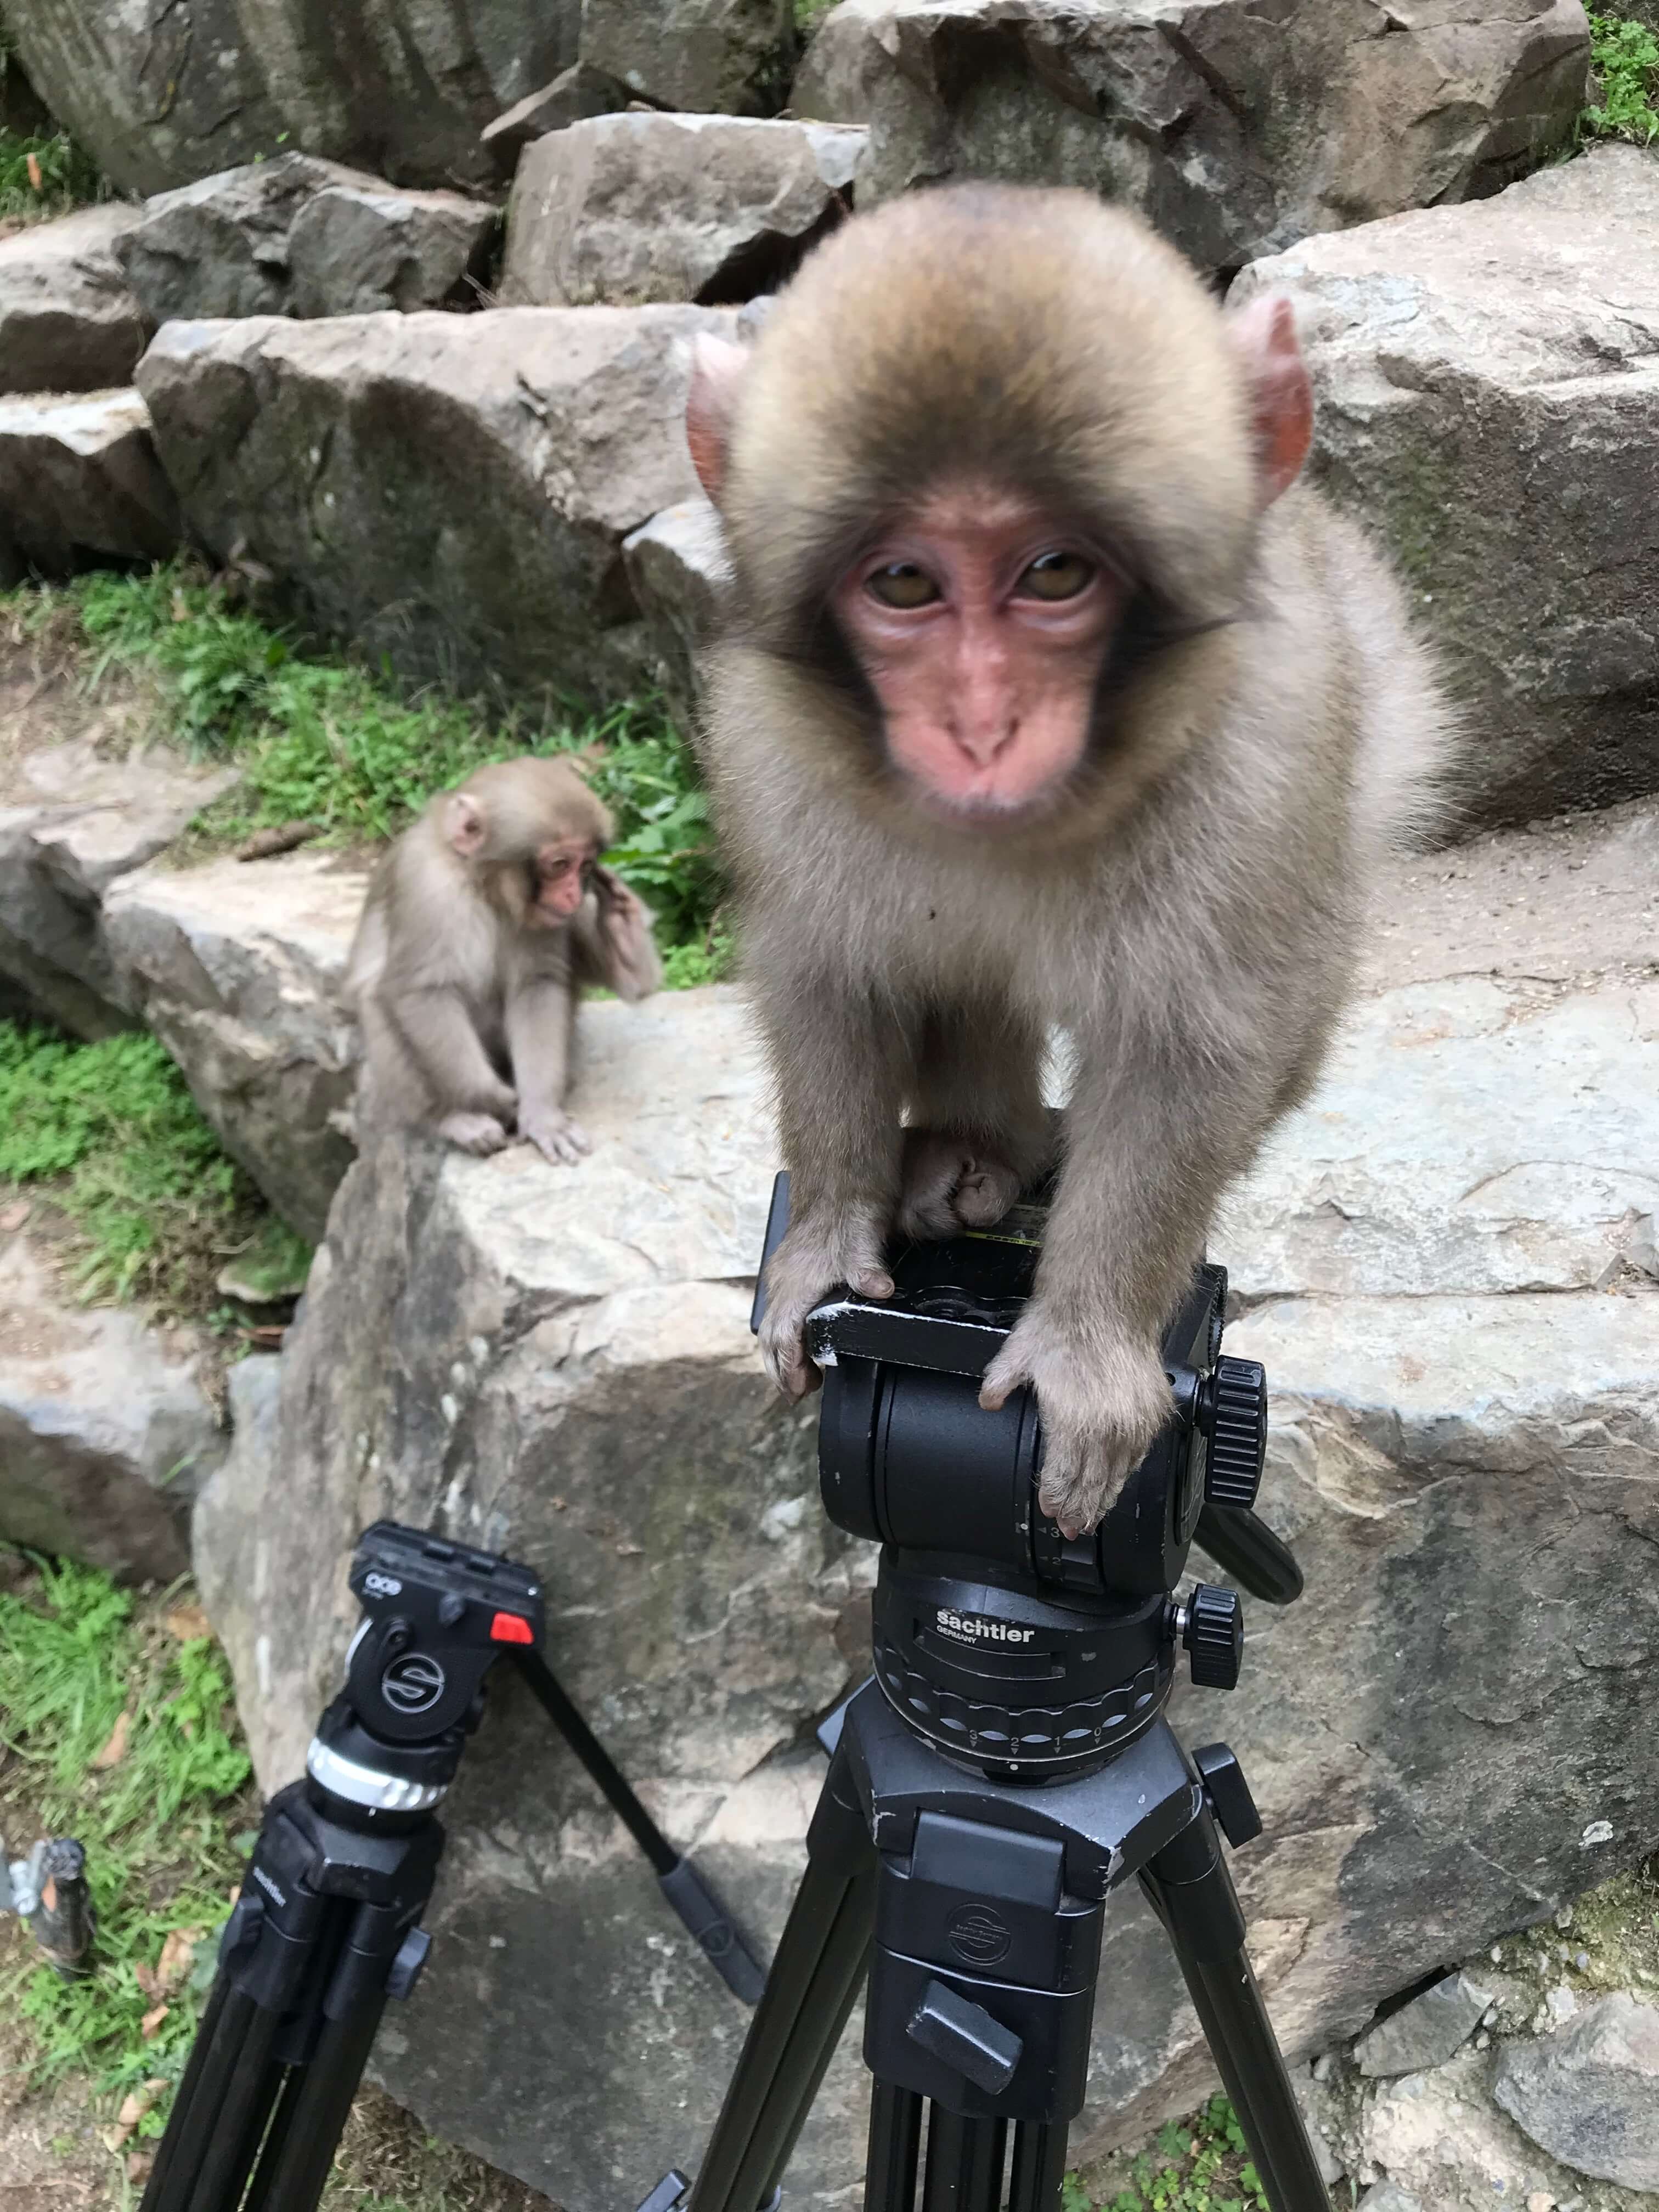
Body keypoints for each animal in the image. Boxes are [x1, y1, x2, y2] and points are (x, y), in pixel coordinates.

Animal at [345, 756, 663, 1167]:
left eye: (585, 866)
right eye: (560, 864)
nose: (574, 893)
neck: (483, 887)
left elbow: (537, 985)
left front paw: (542, 1114)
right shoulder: (428, 886)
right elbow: (421, 992)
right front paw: (488, 1099)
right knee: (375, 998)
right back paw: (452, 1118)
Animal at [690, 185, 1451, 1539]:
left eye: (1054, 573)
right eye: (903, 582)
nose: (981, 726)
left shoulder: (1258, 764)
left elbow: (1194, 1045)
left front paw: (1088, 1348)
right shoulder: (771, 750)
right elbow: (828, 973)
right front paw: (827, 1236)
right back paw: (978, 1150)